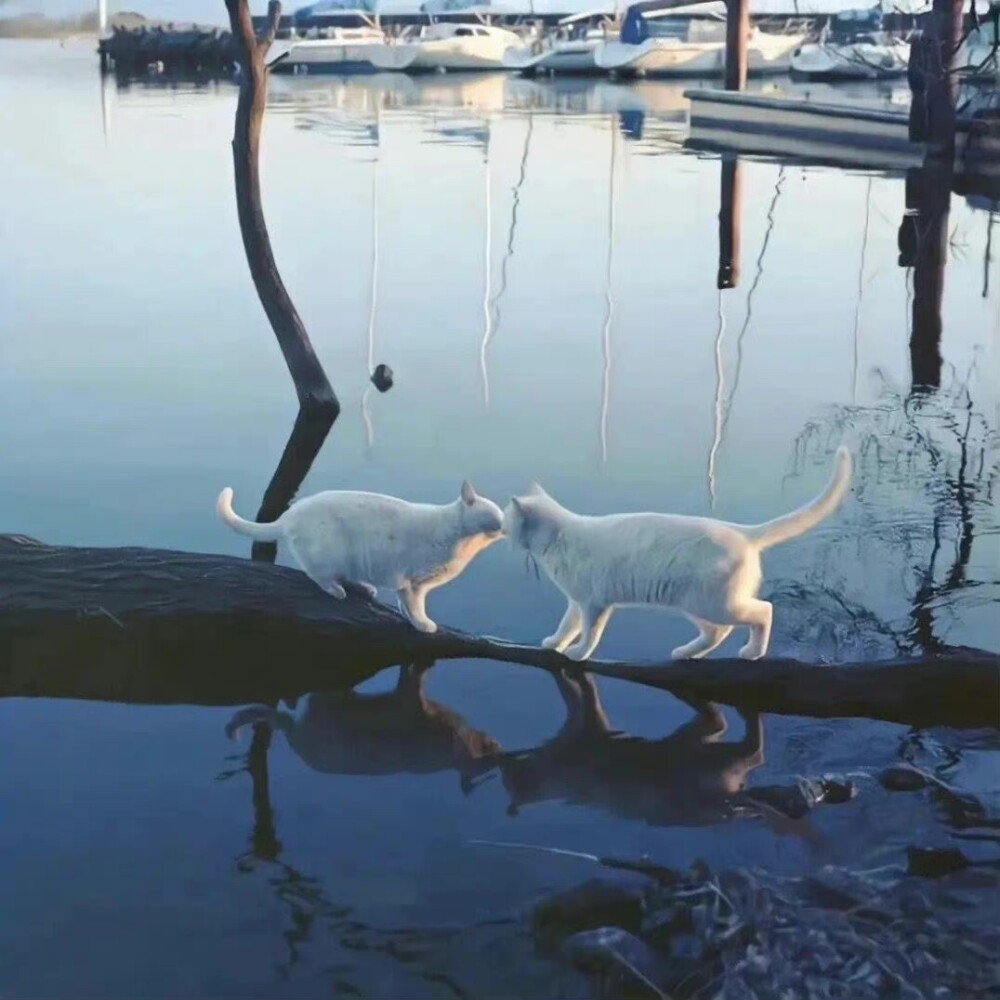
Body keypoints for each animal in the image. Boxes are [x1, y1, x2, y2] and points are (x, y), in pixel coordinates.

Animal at [216, 478, 504, 632]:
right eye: (493, 514)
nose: (504, 525)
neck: (464, 544)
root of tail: (290, 514)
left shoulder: (415, 585)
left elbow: (407, 604)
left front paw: (413, 620)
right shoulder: (411, 582)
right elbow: (415, 605)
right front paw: (423, 624)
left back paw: (364, 588)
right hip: (330, 552)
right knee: (318, 576)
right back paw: (338, 591)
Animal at [500, 450, 852, 660]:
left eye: (507, 518)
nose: (501, 527)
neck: (559, 537)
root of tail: (743, 532)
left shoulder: (595, 605)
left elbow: (589, 634)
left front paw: (577, 652)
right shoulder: (577, 602)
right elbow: (566, 626)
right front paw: (556, 643)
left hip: (716, 604)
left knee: (763, 611)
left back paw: (752, 651)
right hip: (696, 604)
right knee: (717, 632)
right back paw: (686, 652)